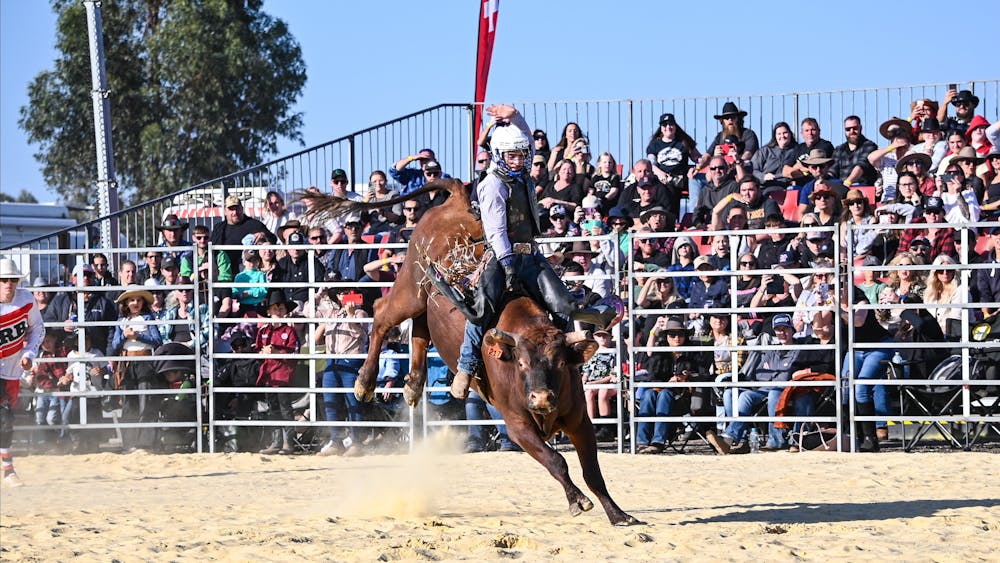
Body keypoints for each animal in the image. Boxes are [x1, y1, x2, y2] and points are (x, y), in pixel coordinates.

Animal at [301, 178, 639, 526]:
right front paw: (577, 501)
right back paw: (365, 383)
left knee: (420, 330)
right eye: (521, 363)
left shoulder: (580, 421)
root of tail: (457, 201)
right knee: (382, 313)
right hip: (410, 287)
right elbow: (556, 460)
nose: (542, 398)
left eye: (560, 362)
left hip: (425, 300)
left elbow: (592, 472)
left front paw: (618, 514)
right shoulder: (518, 425)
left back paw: (413, 385)